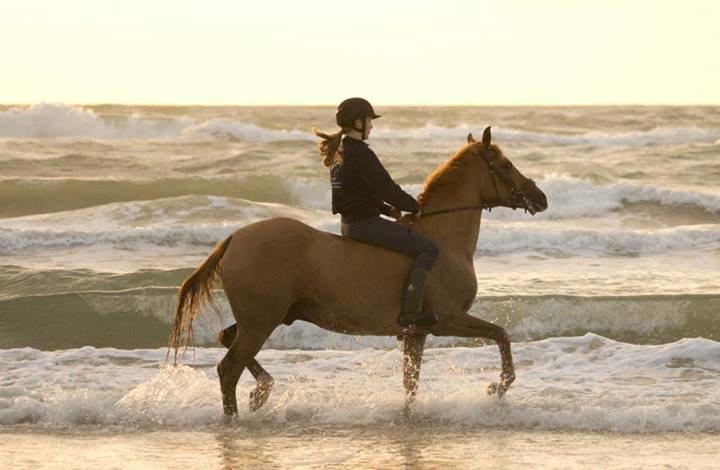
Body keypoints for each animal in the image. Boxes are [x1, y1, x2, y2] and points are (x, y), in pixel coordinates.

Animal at [172, 127, 548, 414]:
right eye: (505, 164)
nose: (540, 198)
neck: (445, 238)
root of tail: (234, 238)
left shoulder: (417, 334)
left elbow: (411, 383)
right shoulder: (447, 319)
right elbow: (501, 334)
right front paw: (497, 388)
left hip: (268, 318)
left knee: (227, 342)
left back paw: (261, 391)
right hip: (261, 321)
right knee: (228, 368)